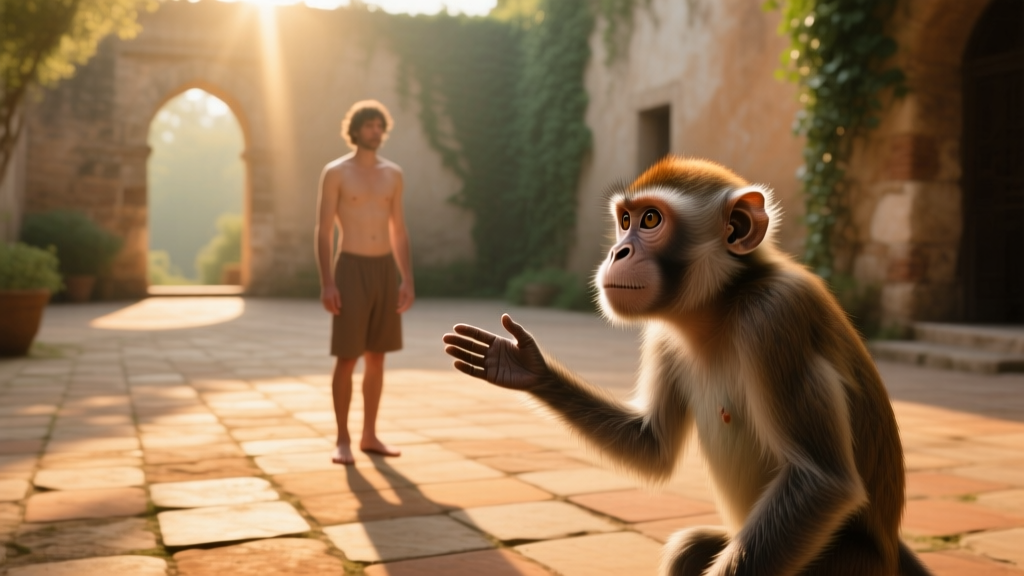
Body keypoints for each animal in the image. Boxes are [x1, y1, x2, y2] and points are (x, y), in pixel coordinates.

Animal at [442, 156, 933, 576]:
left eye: (650, 220)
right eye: (624, 221)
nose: (618, 252)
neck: (723, 304)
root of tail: (890, 556)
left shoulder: (774, 316)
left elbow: (820, 483)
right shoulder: (665, 337)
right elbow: (650, 444)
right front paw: (524, 367)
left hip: (844, 565)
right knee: (691, 547)